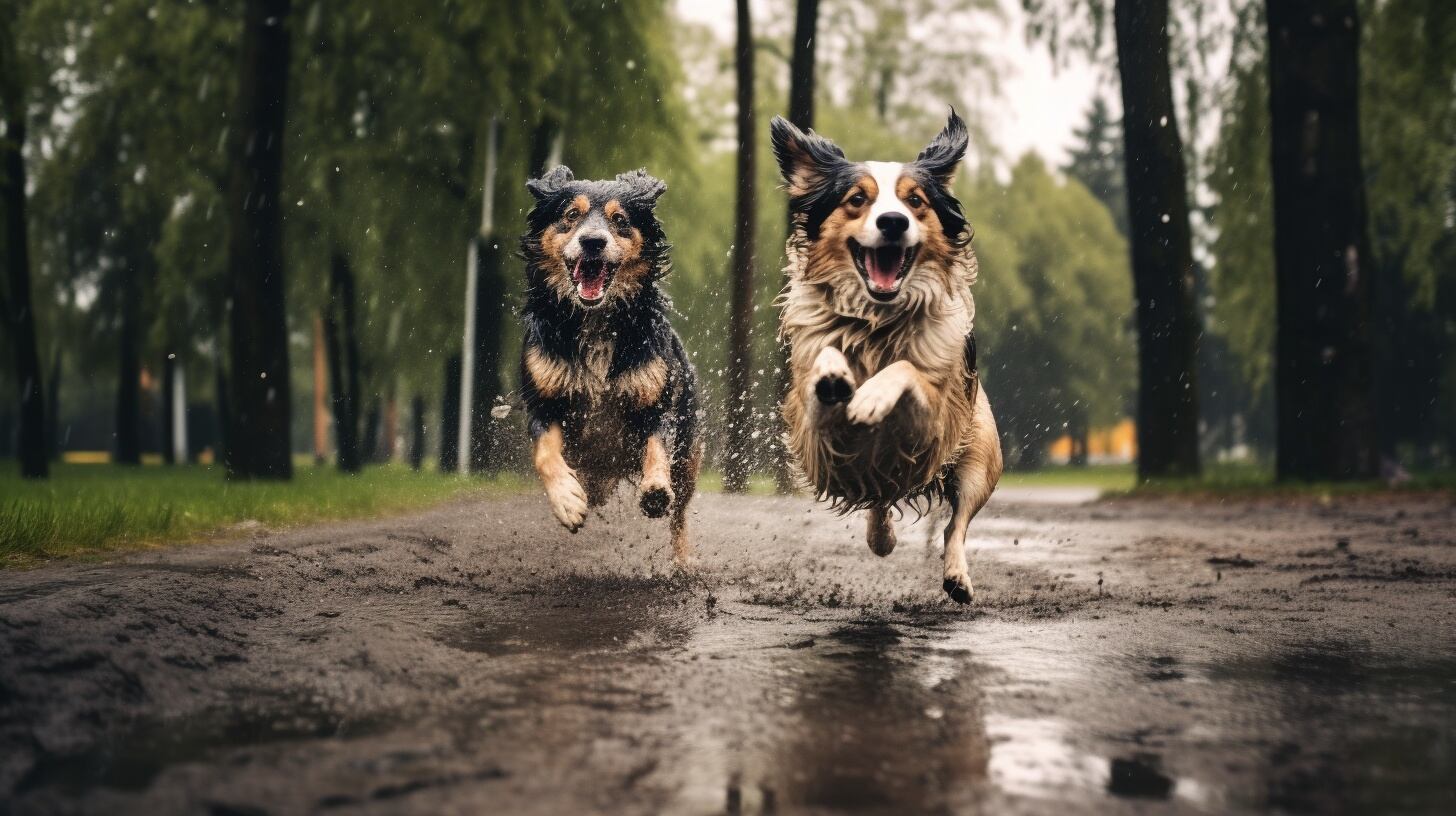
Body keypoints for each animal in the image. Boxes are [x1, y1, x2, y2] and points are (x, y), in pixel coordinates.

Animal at [521, 163, 701, 565]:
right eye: (571, 215)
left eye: (620, 220)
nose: (593, 241)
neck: (596, 320)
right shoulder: (543, 400)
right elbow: (545, 453)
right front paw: (567, 500)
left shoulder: (656, 398)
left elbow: (656, 445)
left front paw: (654, 490)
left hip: (689, 454)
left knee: (681, 513)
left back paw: (683, 562)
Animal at [774, 110, 1001, 606]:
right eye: (857, 199)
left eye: (915, 201)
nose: (894, 221)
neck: (876, 322)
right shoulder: (812, 438)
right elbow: (824, 361)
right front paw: (833, 375)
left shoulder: (933, 426)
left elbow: (907, 368)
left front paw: (873, 395)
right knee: (879, 495)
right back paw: (882, 537)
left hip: (979, 457)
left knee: (955, 523)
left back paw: (957, 576)